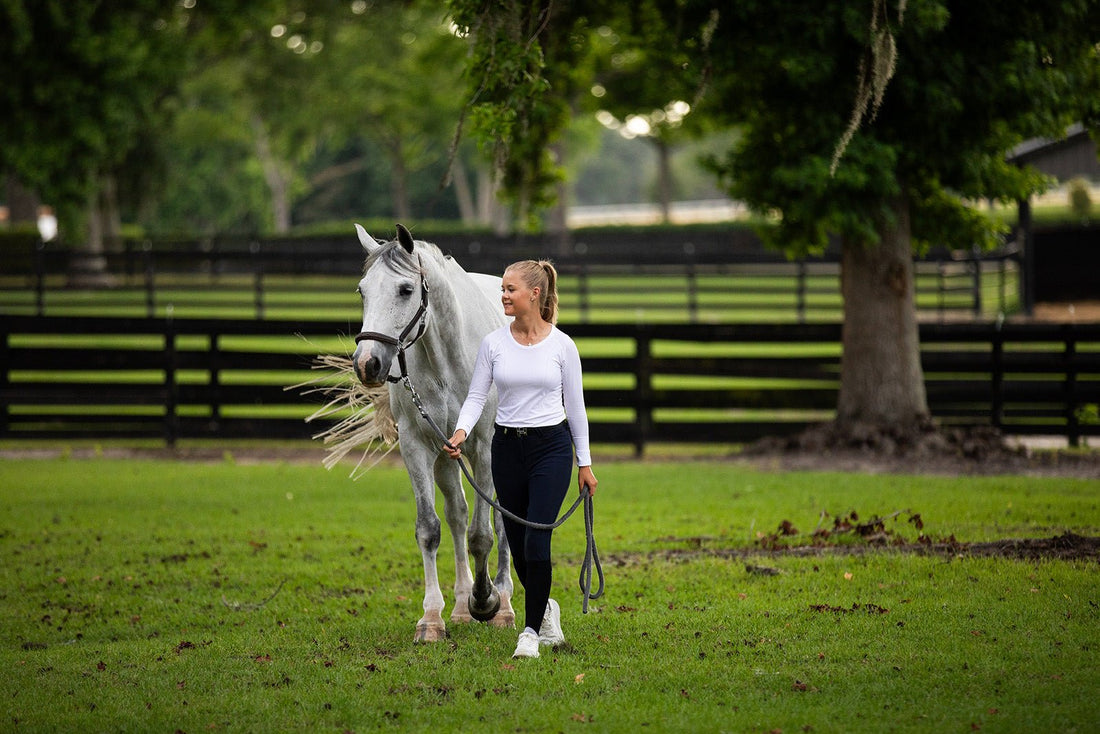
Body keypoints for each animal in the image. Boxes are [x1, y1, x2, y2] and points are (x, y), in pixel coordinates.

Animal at [350, 223, 514, 642]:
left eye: (406, 289)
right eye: (362, 290)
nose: (367, 363)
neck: (448, 359)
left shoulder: (485, 449)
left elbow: (482, 534)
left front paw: (486, 602)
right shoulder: (418, 446)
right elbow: (430, 528)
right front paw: (432, 618)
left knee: (501, 519)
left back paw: (503, 602)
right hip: (445, 459)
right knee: (457, 514)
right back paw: (459, 606)